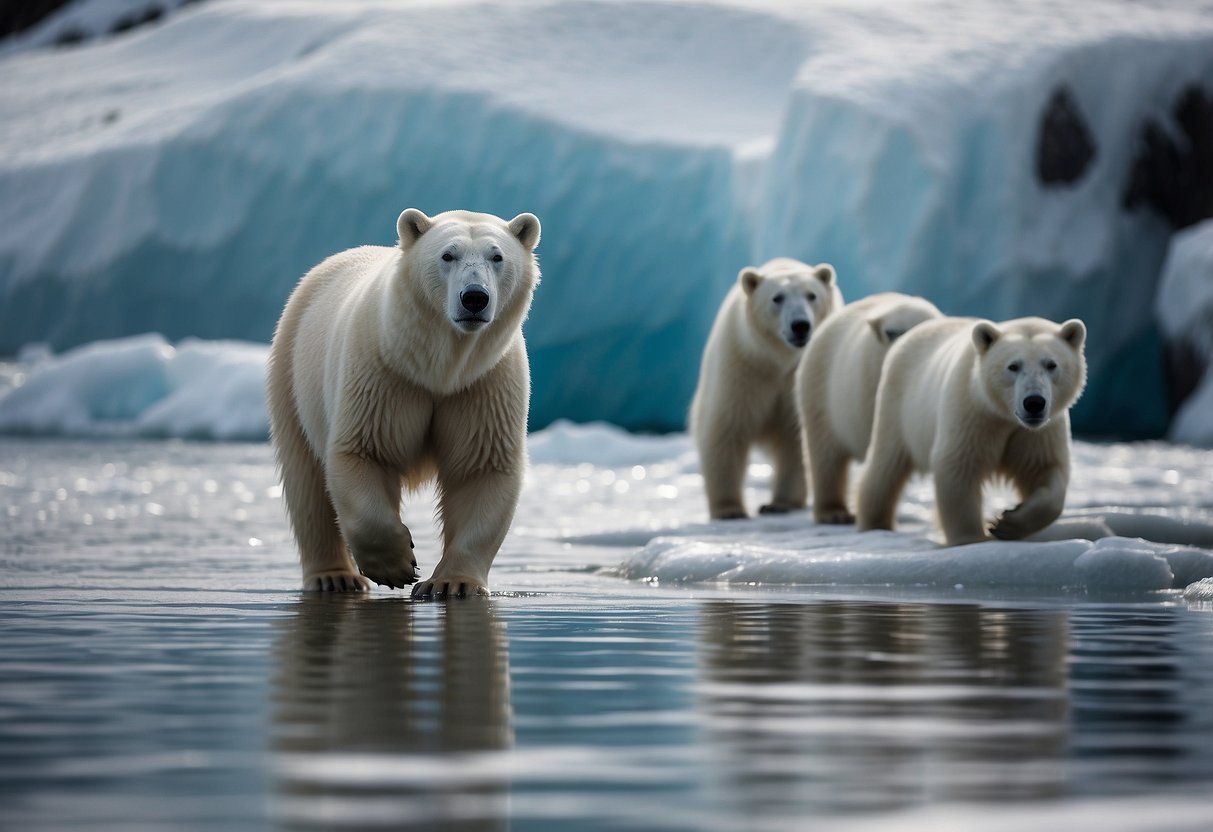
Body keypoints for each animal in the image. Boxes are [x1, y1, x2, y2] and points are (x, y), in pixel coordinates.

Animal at [272, 208, 543, 599]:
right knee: (305, 481)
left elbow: (481, 468)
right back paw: (334, 577)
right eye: (447, 255)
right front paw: (397, 565)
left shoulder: (483, 384)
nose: (474, 298)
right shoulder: (383, 373)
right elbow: (364, 450)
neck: (438, 368)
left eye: (497, 256)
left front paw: (453, 583)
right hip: (292, 374)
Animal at [693, 259, 844, 521]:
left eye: (812, 295)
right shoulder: (742, 368)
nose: (800, 326)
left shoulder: (798, 380)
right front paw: (729, 509)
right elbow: (725, 427)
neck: (779, 360)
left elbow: (795, 439)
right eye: (777, 298)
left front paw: (780, 504)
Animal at [853, 315, 1091, 548]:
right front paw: (973, 538)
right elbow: (959, 466)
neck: (1003, 415)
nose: (1034, 402)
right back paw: (875, 523)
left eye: (1051, 364)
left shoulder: (1038, 431)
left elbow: (1045, 470)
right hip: (898, 407)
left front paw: (1007, 522)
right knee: (886, 465)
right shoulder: (972, 412)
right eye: (1013, 366)